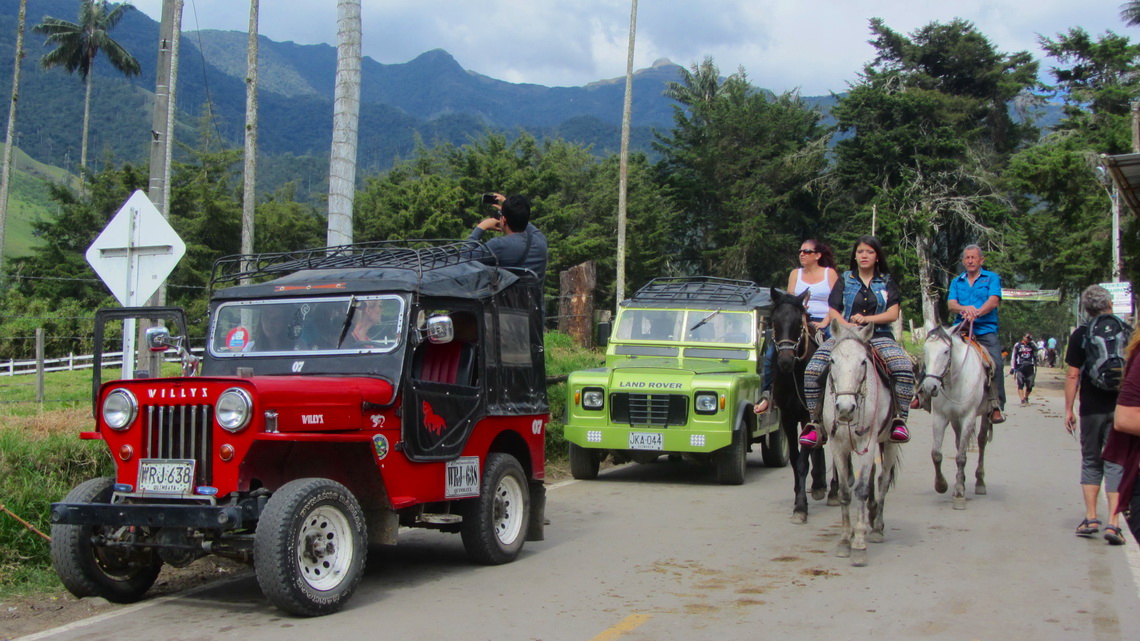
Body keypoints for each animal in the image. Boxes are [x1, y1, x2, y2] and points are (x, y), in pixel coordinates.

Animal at [766, 287, 839, 522]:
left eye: (799, 322)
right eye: (774, 321)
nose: (785, 361)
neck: (795, 375)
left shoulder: (808, 415)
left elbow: (802, 462)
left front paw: (800, 507)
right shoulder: (788, 417)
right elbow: (796, 457)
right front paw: (802, 494)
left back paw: (834, 491)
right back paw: (819, 484)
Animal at [825, 319, 902, 563]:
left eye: (863, 361)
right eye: (832, 360)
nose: (845, 408)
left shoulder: (867, 443)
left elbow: (860, 490)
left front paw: (858, 544)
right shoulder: (837, 445)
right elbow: (844, 491)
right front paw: (844, 540)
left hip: (889, 442)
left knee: (883, 479)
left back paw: (877, 527)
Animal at [916, 323, 989, 508]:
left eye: (945, 351)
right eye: (925, 350)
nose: (930, 387)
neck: (955, 382)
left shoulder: (969, 417)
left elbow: (961, 456)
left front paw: (959, 492)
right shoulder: (940, 417)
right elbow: (936, 454)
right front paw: (941, 485)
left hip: (985, 414)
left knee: (982, 441)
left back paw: (980, 482)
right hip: (955, 420)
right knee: (958, 442)